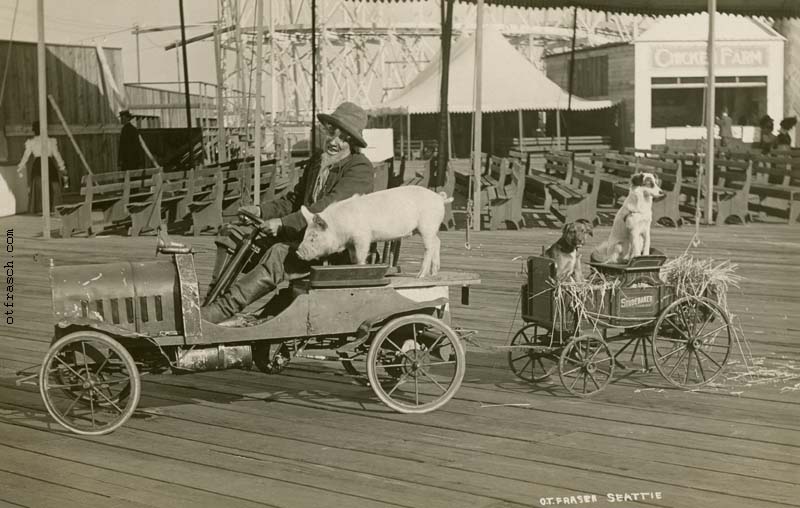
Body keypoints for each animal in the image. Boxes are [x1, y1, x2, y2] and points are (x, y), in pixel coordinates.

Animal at [296, 185, 454, 276]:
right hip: (429, 228)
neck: (340, 226)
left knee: (430, 247)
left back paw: (421, 275)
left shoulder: (362, 237)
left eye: (314, 236)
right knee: (437, 242)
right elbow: (353, 258)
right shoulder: (351, 243)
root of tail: (439, 198)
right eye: (305, 234)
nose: (298, 253)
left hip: (427, 226)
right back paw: (434, 273)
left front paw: (361, 267)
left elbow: (361, 255)